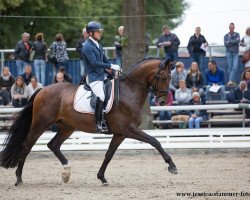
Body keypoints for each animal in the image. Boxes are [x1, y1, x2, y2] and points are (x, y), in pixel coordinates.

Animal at [0, 57, 178, 186]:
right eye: (163, 77)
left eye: (170, 77)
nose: (163, 101)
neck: (129, 92)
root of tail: (42, 89)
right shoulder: (129, 129)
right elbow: (155, 141)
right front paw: (172, 166)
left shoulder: (120, 133)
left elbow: (109, 154)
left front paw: (102, 178)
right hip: (41, 124)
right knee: (26, 146)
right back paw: (19, 179)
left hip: (67, 127)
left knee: (53, 145)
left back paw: (66, 172)